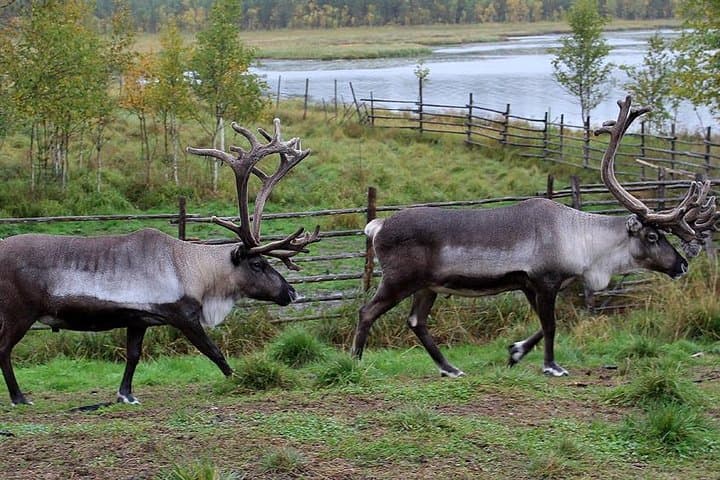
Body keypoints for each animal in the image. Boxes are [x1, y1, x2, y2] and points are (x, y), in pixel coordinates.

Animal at [0, 118, 319, 406]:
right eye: (257, 265)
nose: (291, 292)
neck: (195, 271)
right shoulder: (183, 316)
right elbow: (213, 351)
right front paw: (239, 379)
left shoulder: (138, 318)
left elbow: (133, 356)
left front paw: (125, 394)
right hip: (19, 312)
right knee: (3, 349)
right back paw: (19, 397)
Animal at [353, 96, 719, 378]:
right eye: (654, 236)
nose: (682, 265)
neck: (583, 243)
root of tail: (376, 226)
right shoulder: (545, 280)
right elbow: (553, 325)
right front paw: (552, 366)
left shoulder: (529, 284)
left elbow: (544, 325)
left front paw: (515, 351)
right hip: (400, 279)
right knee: (367, 311)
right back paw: (355, 362)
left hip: (429, 285)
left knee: (416, 321)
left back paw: (450, 368)